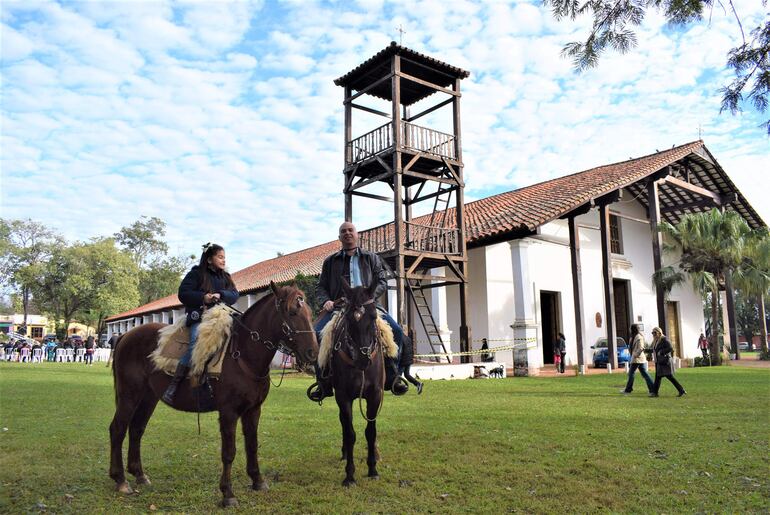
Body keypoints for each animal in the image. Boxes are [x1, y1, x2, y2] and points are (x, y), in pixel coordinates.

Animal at [106, 282, 316, 508]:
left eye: (310, 312)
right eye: (292, 311)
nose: (313, 352)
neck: (243, 355)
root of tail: (125, 336)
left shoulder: (253, 410)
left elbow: (252, 445)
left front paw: (258, 481)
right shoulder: (229, 412)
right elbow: (229, 452)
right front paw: (228, 494)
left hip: (148, 398)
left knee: (137, 429)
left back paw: (139, 475)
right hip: (129, 395)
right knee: (118, 429)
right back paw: (120, 480)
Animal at [326, 280, 384, 486]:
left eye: (373, 316)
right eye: (349, 319)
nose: (363, 359)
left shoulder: (375, 395)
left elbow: (371, 431)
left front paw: (373, 469)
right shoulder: (343, 396)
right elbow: (350, 433)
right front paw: (350, 475)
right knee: (344, 423)